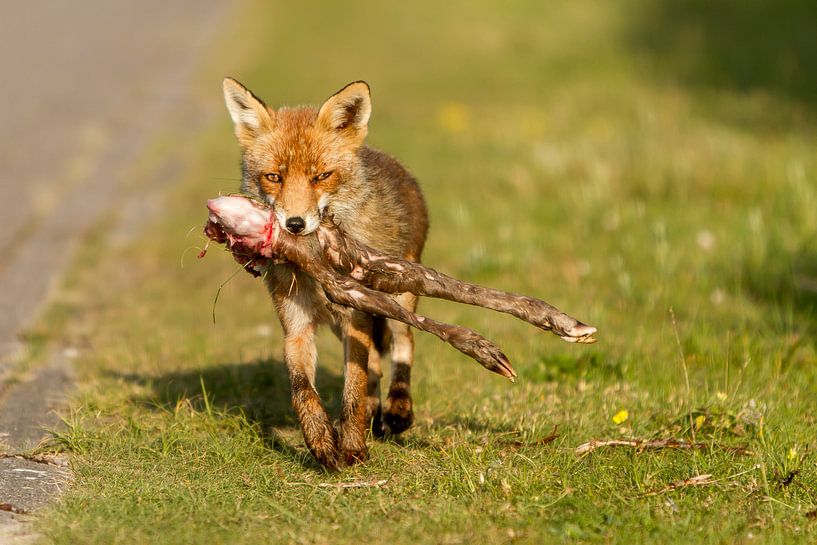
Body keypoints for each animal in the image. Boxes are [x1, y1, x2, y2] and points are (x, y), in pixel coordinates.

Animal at [223, 77, 428, 468]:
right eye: (274, 177)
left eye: (321, 176)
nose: (295, 224)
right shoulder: (297, 327)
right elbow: (303, 390)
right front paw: (321, 442)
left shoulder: (356, 320)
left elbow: (353, 389)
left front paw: (352, 447)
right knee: (376, 366)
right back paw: (375, 413)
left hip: (398, 299)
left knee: (404, 344)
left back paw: (397, 410)